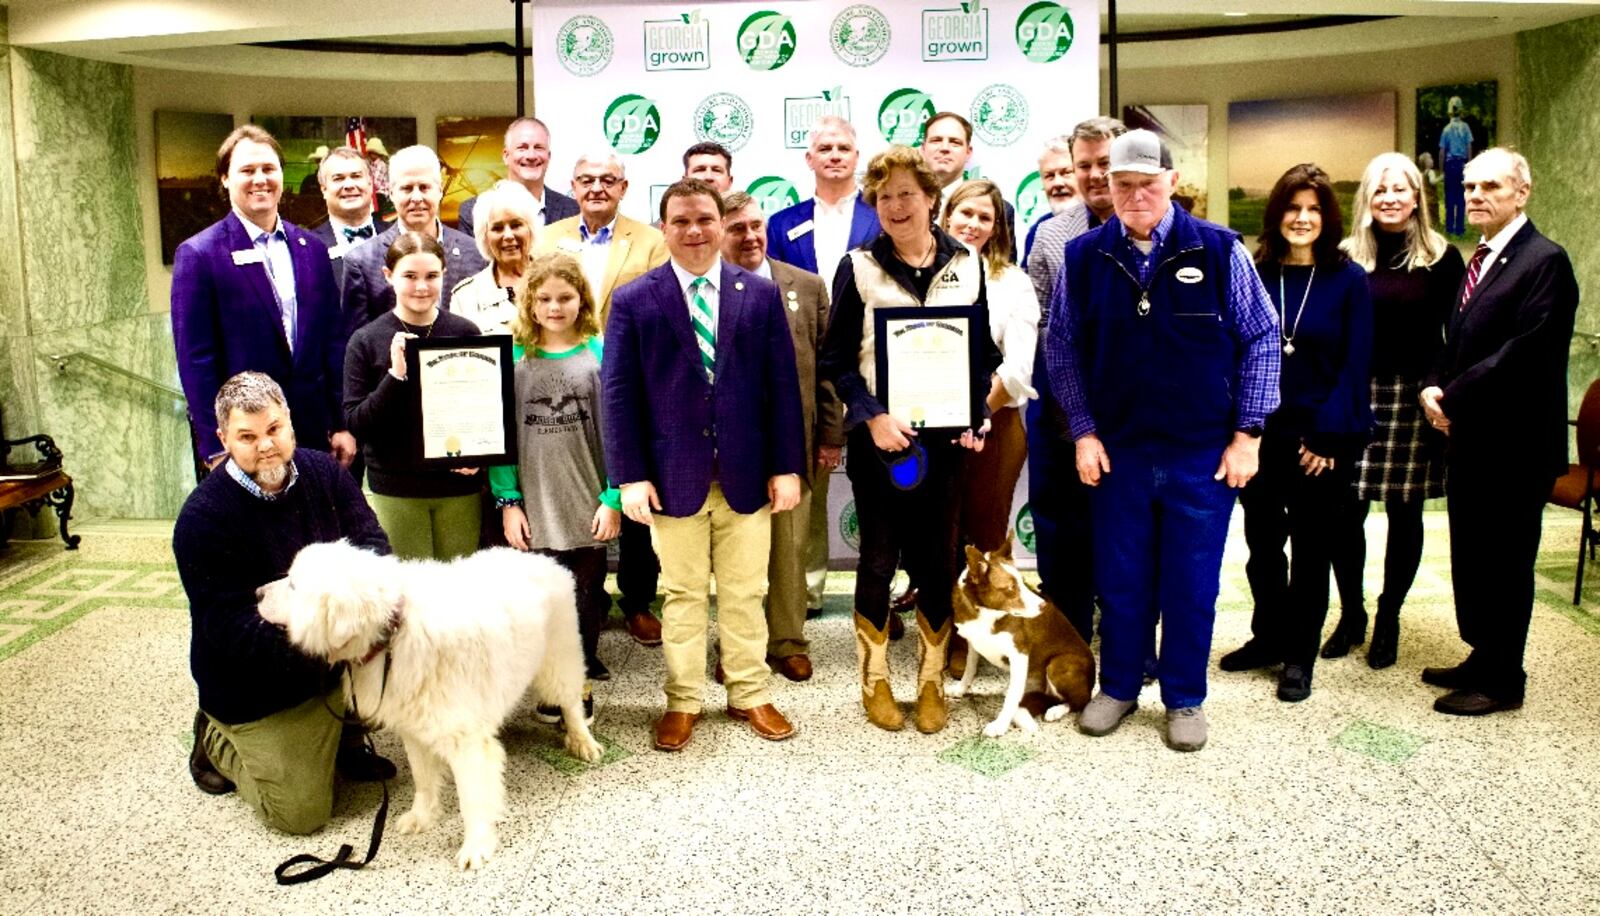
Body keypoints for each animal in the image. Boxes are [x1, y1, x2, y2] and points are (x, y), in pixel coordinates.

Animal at [259, 541, 601, 871]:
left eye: (293, 585)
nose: (257, 593)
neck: (392, 636)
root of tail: (541, 559)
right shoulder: (415, 730)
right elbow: (423, 781)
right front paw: (422, 817)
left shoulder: (467, 743)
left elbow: (472, 799)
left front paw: (476, 846)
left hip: (558, 660)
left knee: (571, 703)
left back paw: (584, 742)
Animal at [953, 538, 1094, 736]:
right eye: (1011, 588)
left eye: (1022, 582)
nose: (1044, 605)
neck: (985, 613)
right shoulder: (973, 643)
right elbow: (969, 668)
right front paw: (960, 689)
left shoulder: (1019, 654)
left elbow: (1012, 698)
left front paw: (1000, 725)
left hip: (1059, 663)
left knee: (1081, 700)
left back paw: (1056, 710)